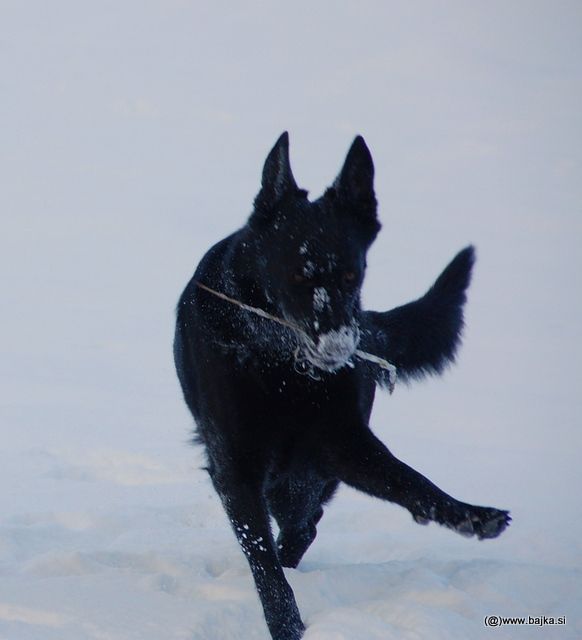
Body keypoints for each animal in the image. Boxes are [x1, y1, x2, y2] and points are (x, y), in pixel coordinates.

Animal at [173, 134, 512, 640]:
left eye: (352, 275)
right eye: (298, 275)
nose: (339, 347)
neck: (281, 368)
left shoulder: (344, 444)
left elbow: (413, 482)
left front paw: (469, 514)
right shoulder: (235, 465)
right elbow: (262, 560)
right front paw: (286, 625)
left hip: (302, 475)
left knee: (305, 524)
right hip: (285, 478)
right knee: (293, 530)